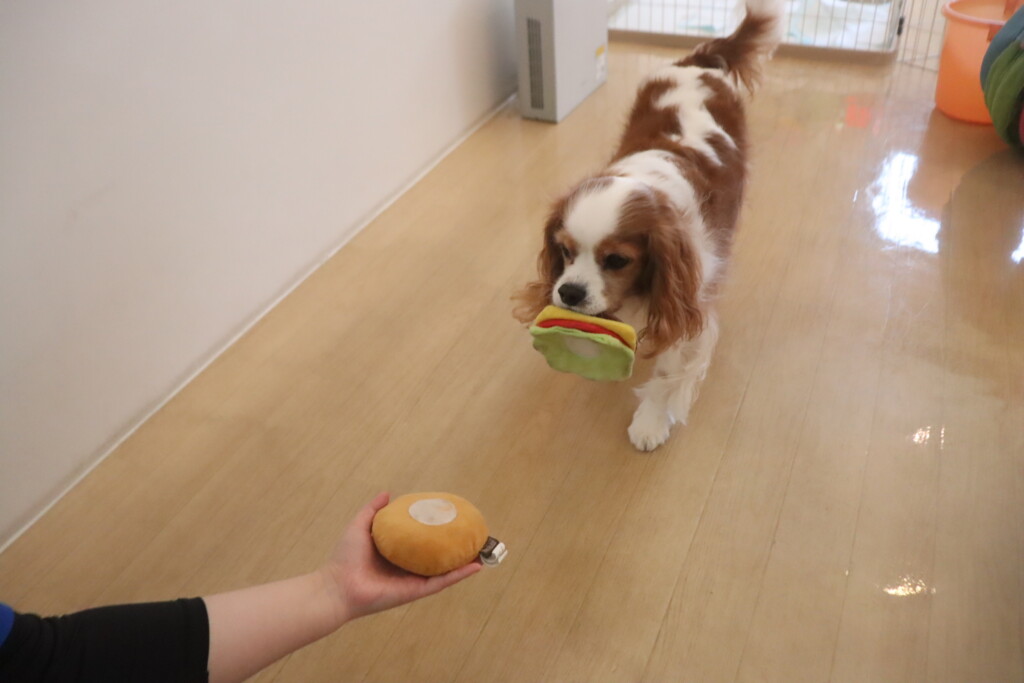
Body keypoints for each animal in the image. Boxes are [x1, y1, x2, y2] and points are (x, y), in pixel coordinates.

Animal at [514, 0, 783, 451]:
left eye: (617, 260)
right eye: (564, 250)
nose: (569, 292)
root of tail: (700, 61)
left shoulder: (689, 301)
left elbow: (669, 373)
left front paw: (651, 421)